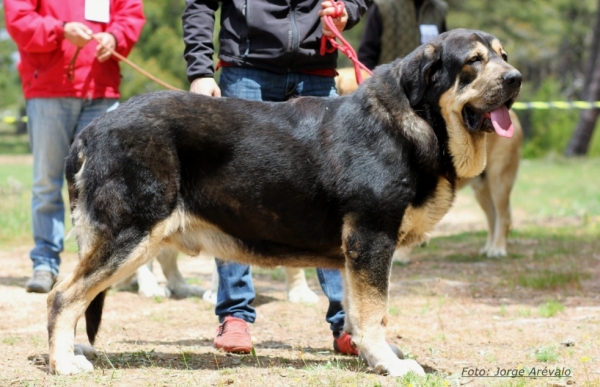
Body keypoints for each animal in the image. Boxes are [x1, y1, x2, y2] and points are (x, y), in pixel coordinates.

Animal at [336, 68, 524, 260]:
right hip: (481, 189)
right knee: (493, 217)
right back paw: (488, 248)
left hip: (498, 181)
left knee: (503, 217)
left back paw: (498, 249)